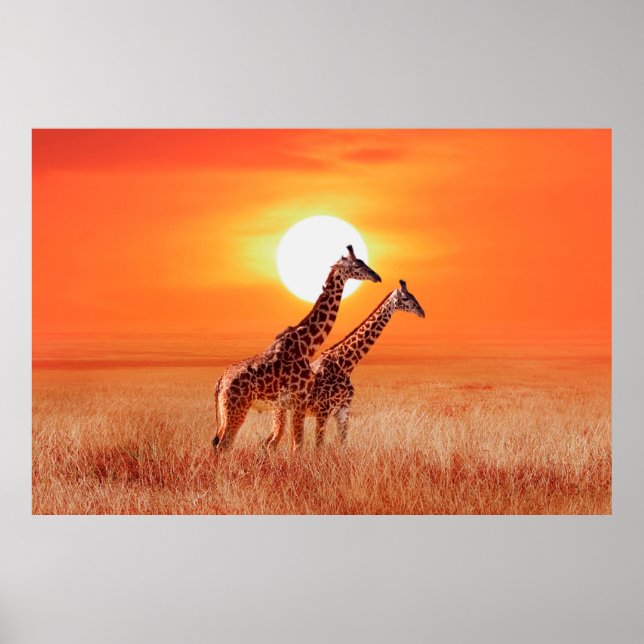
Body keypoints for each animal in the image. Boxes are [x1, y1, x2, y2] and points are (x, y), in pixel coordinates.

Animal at [212, 245, 381, 452]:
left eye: (363, 262)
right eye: (357, 264)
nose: (376, 276)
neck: (307, 345)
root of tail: (220, 382)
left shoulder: (296, 404)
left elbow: (297, 445)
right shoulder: (299, 401)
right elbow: (298, 446)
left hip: (228, 411)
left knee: (219, 444)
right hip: (237, 408)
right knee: (224, 445)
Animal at [265, 280, 425, 447]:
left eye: (413, 295)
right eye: (405, 298)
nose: (422, 312)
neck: (346, 364)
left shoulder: (343, 410)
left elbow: (343, 445)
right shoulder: (323, 410)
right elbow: (319, 446)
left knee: (267, 442)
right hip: (280, 410)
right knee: (272, 443)